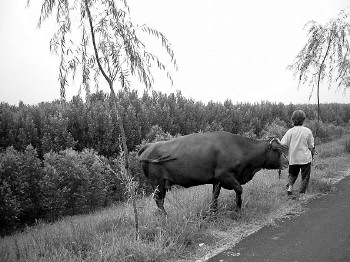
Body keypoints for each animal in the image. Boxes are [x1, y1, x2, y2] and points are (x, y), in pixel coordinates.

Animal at [138, 131, 288, 215]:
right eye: (278, 151)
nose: (286, 162)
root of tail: (150, 145)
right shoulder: (225, 175)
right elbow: (239, 189)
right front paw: (237, 209)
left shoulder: (217, 180)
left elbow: (215, 196)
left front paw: (213, 212)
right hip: (157, 182)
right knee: (159, 200)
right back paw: (165, 216)